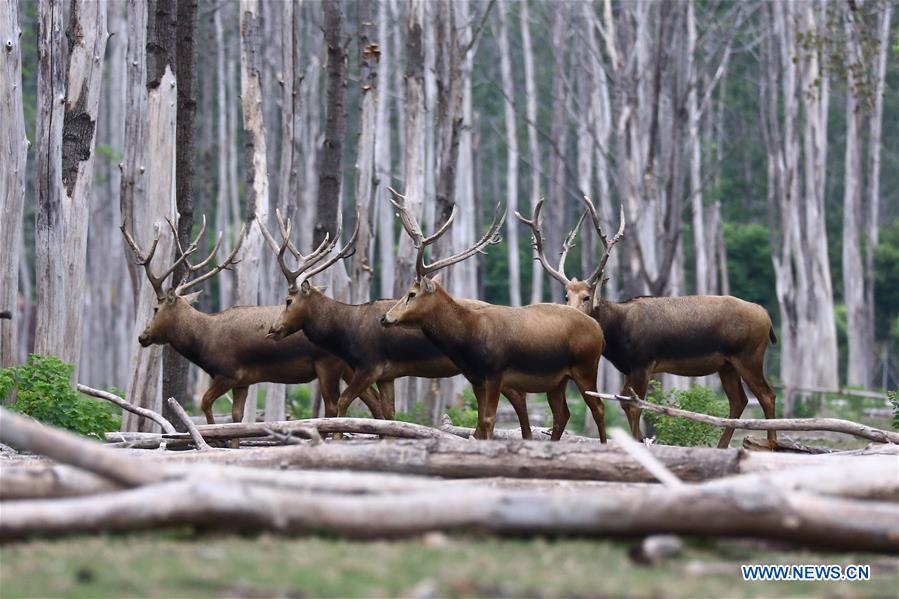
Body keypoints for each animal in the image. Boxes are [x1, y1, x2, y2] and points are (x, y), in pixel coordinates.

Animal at [118, 216, 382, 426]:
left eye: (155, 308)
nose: (142, 336)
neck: (202, 342)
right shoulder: (243, 381)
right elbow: (237, 417)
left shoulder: (228, 372)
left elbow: (205, 403)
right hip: (349, 366)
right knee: (376, 402)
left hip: (328, 364)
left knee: (334, 406)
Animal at [256, 213, 536, 438]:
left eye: (288, 300)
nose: (273, 328)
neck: (346, 333)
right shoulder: (386, 375)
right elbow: (387, 415)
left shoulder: (369, 366)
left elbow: (343, 404)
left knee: (518, 397)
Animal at [376, 190, 608, 442]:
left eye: (411, 293)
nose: (385, 318)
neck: (466, 340)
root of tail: (599, 331)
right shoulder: (476, 378)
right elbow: (479, 427)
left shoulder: (496, 372)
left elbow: (488, 421)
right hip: (558, 379)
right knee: (562, 414)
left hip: (586, 366)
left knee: (598, 408)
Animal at [516, 197, 776, 450]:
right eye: (566, 296)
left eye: (587, 297)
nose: (569, 314)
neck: (617, 336)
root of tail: (767, 316)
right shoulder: (631, 367)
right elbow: (625, 401)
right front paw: (639, 439)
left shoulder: (643, 362)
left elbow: (634, 404)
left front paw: (638, 441)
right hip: (727, 364)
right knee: (740, 400)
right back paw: (723, 446)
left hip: (748, 355)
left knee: (766, 394)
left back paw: (771, 443)